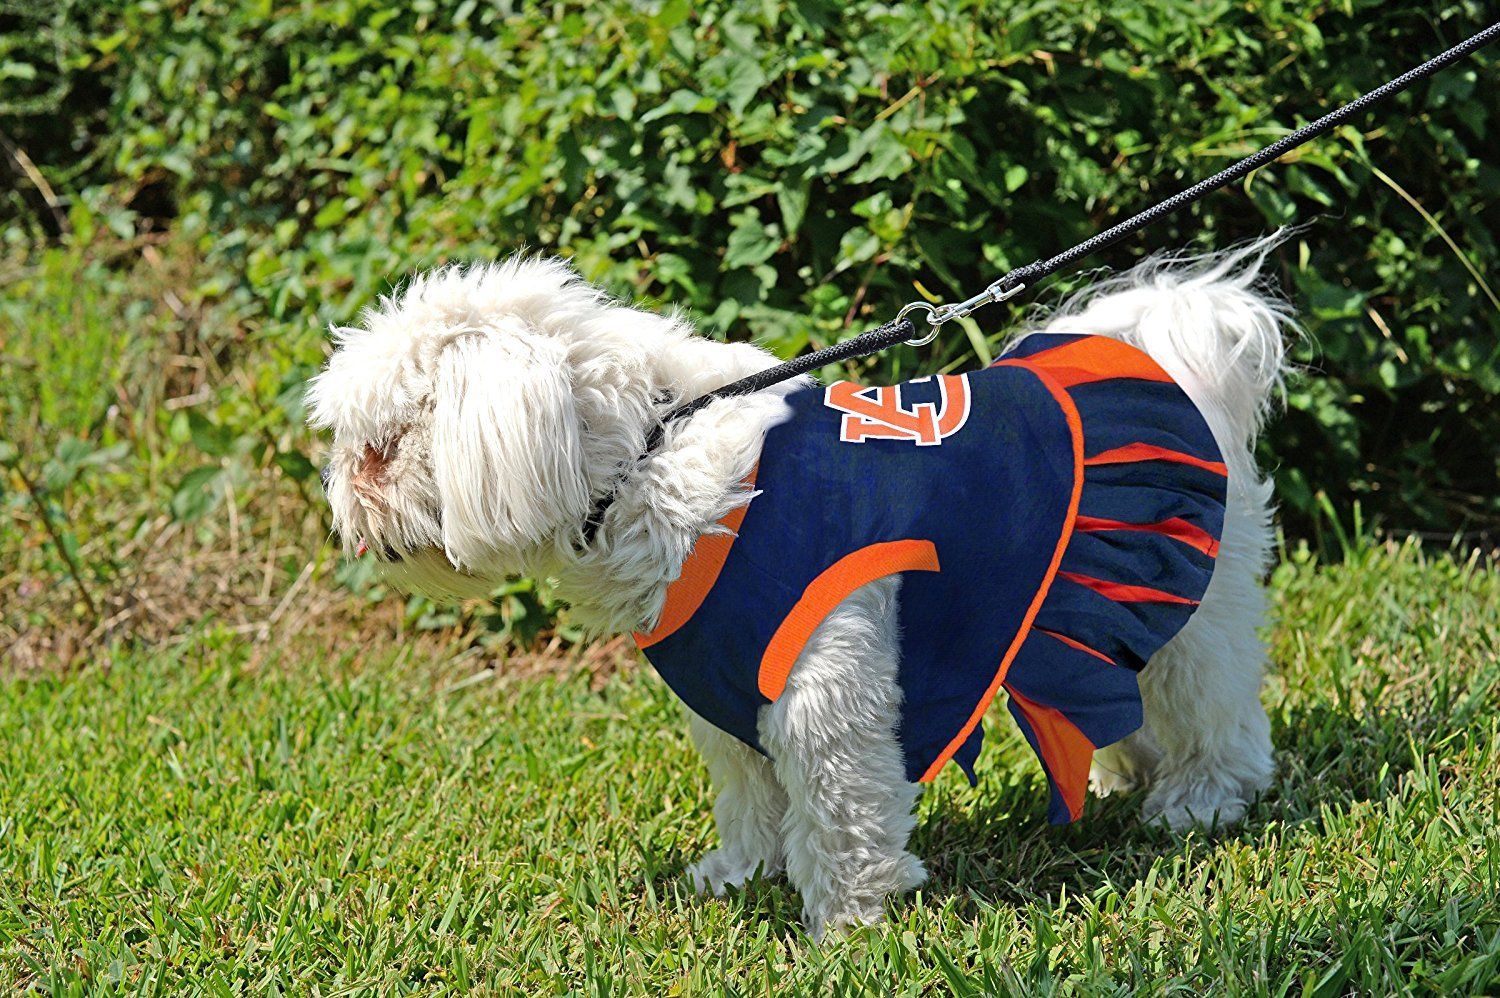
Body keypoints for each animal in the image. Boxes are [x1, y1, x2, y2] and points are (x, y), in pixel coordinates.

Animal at [304, 241, 1290, 936]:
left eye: (380, 448)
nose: (343, 499)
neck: (657, 453)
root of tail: (1162, 355)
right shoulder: (725, 686)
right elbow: (751, 793)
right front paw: (743, 874)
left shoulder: (824, 685)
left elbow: (839, 804)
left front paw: (848, 921)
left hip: (1184, 598)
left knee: (1214, 703)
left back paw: (1200, 799)